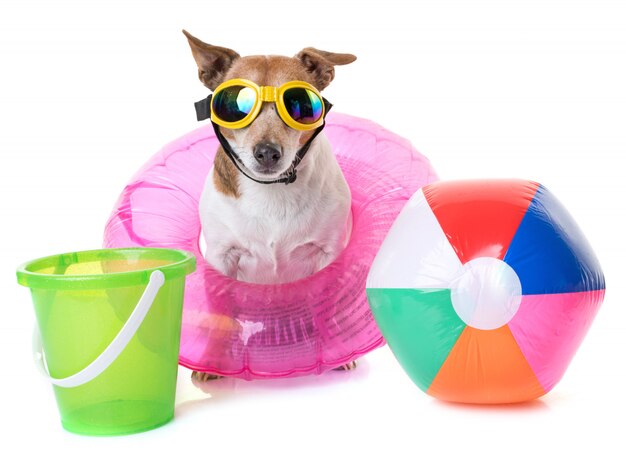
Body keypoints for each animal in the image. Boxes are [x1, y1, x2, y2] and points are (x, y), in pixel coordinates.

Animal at [180, 30, 356, 382]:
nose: (267, 152)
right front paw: (212, 362)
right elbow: (220, 313)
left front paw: (334, 353)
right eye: (234, 105)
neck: (272, 190)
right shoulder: (222, 256)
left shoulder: (327, 253)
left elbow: (326, 309)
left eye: (300, 105)